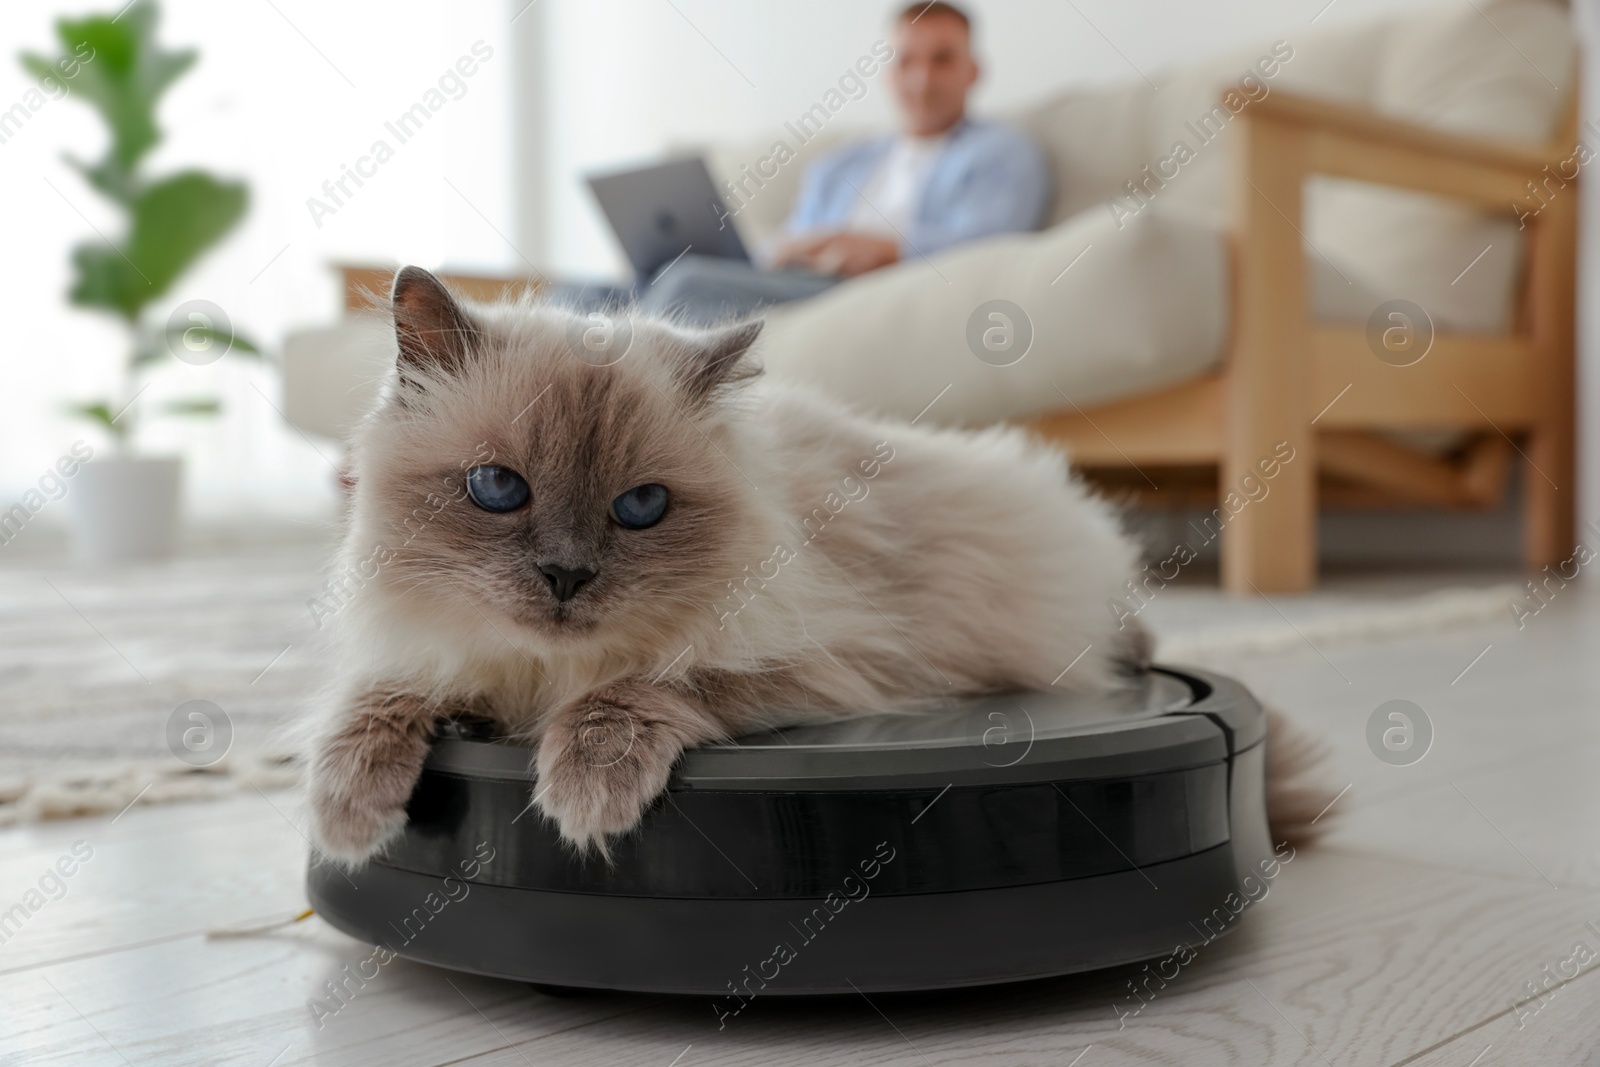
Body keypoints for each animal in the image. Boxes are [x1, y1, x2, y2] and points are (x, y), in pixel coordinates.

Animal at [302, 267, 1324, 870]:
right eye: (496, 488)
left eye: (642, 507)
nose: (565, 576)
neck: (535, 680)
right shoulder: (421, 651)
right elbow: (375, 701)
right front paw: (348, 814)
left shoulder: (821, 660)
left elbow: (645, 686)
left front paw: (586, 789)